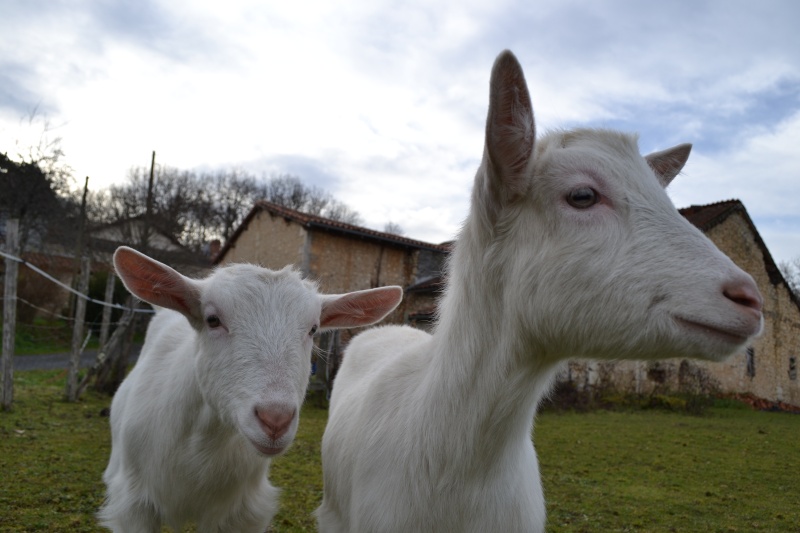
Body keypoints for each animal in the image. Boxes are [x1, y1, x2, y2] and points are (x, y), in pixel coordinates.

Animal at [98, 246, 400, 532]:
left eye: (313, 329)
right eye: (212, 319)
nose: (275, 419)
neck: (199, 444)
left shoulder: (241, 514)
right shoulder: (134, 505)